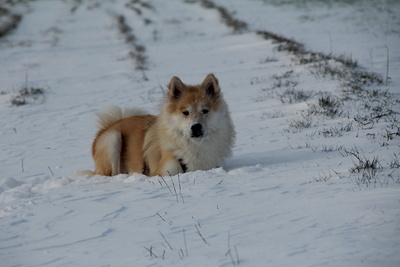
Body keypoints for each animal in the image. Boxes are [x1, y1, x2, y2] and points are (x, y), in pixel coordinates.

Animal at [89, 74, 236, 177]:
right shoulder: (163, 173)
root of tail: (104, 129)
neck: (194, 147)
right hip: (112, 139)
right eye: (185, 112)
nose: (196, 127)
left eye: (205, 111)